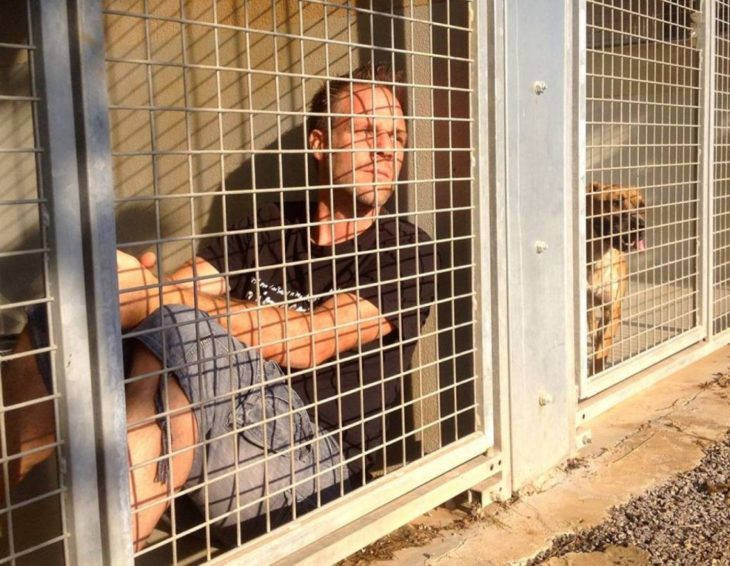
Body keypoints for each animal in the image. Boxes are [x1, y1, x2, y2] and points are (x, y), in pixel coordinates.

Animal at [584, 184, 644, 374]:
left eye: (642, 206)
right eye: (615, 202)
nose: (640, 225)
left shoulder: (613, 309)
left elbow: (604, 344)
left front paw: (597, 368)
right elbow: (596, 336)